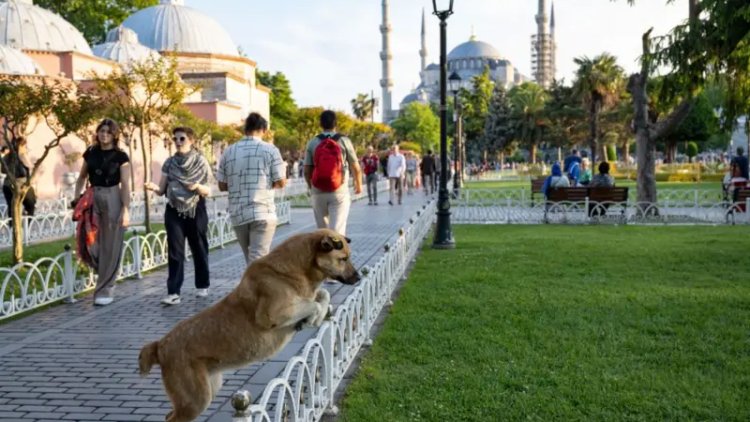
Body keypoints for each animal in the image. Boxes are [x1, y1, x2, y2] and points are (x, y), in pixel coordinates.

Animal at [141, 231, 364, 422]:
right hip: (195, 399)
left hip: (207, 389)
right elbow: (314, 303)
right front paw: (312, 315)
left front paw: (314, 317)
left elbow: (322, 296)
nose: (359, 277)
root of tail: (160, 345)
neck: (293, 270)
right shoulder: (270, 314)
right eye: (343, 259)